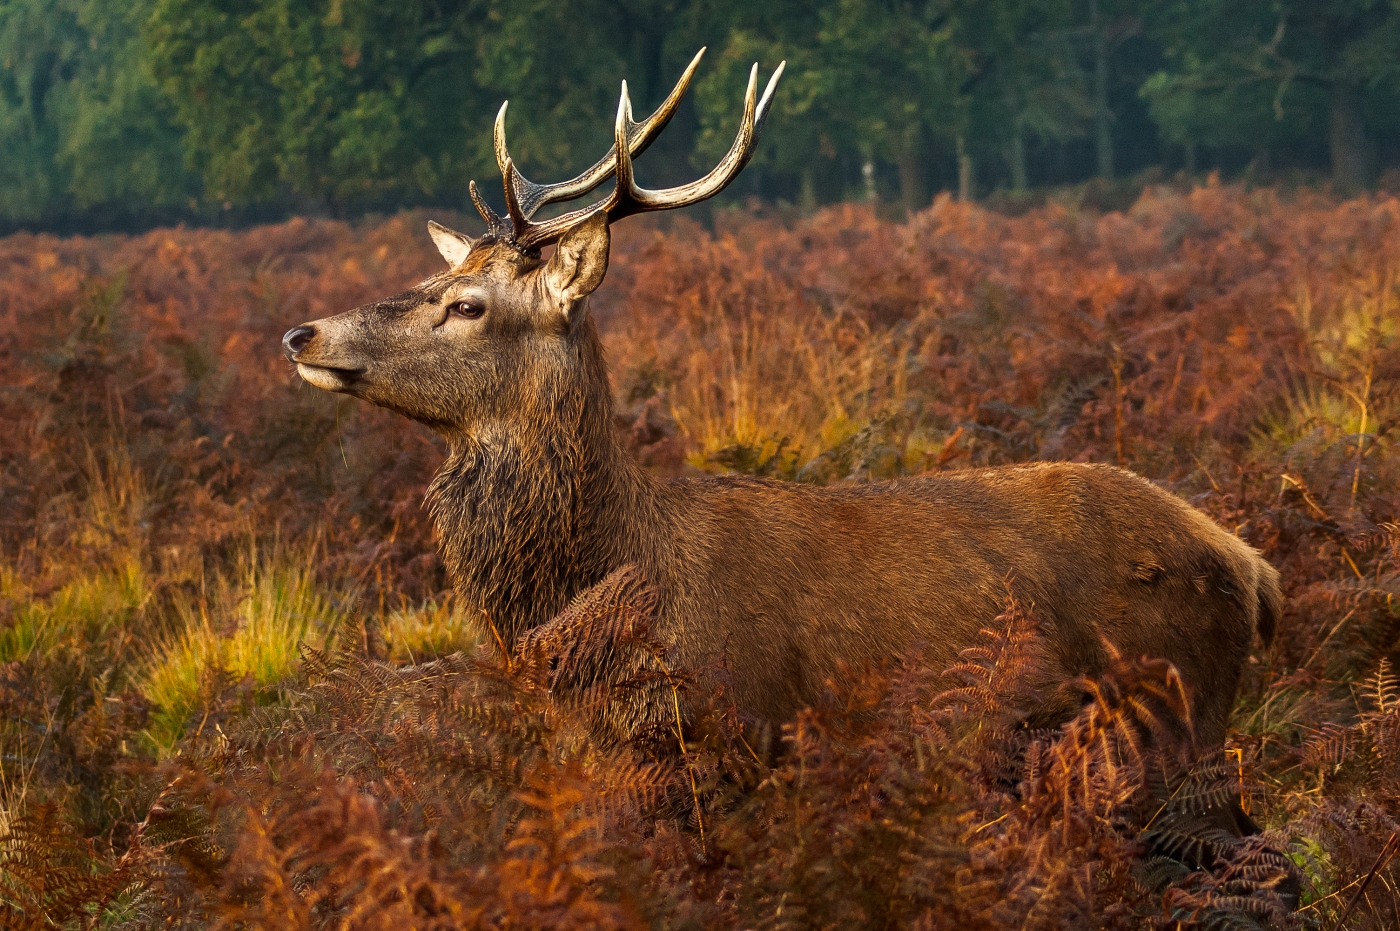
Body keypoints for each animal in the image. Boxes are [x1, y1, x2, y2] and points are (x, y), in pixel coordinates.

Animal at [281, 52, 1282, 784]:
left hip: (1171, 712)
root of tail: (1255, 567)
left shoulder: (729, 737)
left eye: (468, 305)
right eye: (438, 278)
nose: (301, 330)